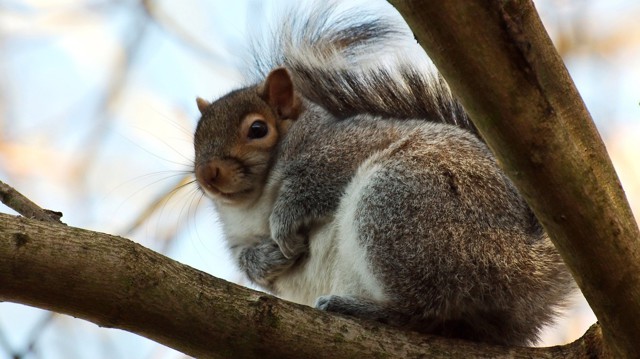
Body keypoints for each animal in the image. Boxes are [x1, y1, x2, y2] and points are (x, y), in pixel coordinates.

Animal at [191, 4, 576, 348]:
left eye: (257, 129)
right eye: (196, 138)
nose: (207, 175)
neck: (254, 203)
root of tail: (524, 267)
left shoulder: (344, 146)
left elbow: (315, 183)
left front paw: (284, 221)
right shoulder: (239, 238)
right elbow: (247, 261)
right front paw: (266, 260)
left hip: (400, 205)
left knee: (423, 308)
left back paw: (363, 310)